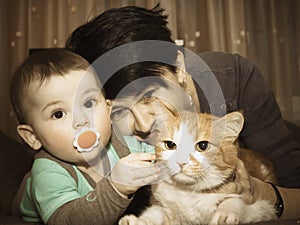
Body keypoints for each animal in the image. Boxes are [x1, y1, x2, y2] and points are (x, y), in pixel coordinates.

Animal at [118, 111, 276, 225]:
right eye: (170, 145)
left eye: (203, 146)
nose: (181, 162)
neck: (187, 193)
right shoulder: (164, 209)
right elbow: (154, 213)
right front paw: (139, 221)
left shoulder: (263, 208)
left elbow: (236, 202)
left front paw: (226, 213)